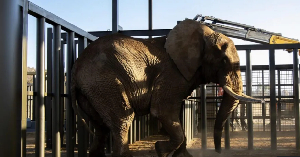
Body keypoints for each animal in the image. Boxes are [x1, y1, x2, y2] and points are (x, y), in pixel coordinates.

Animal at [71, 19, 262, 156]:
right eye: (223, 60)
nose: (218, 151)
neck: (203, 34)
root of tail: (76, 66)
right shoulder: (171, 74)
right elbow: (162, 111)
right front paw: (160, 150)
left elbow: (177, 116)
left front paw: (182, 156)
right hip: (104, 81)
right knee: (122, 119)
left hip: (92, 89)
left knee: (101, 127)